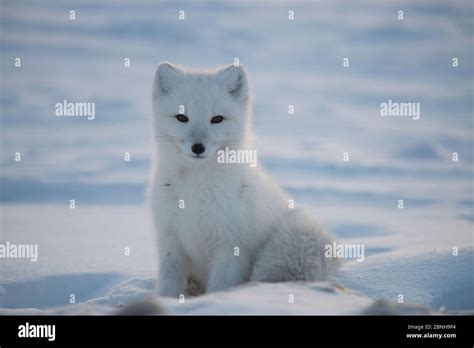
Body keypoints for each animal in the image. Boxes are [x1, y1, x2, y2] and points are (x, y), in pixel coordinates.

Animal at [150, 62, 338, 296]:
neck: (194, 189)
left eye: (217, 119)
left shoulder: (230, 249)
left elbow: (219, 288)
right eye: (181, 117)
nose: (198, 147)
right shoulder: (170, 243)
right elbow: (166, 287)